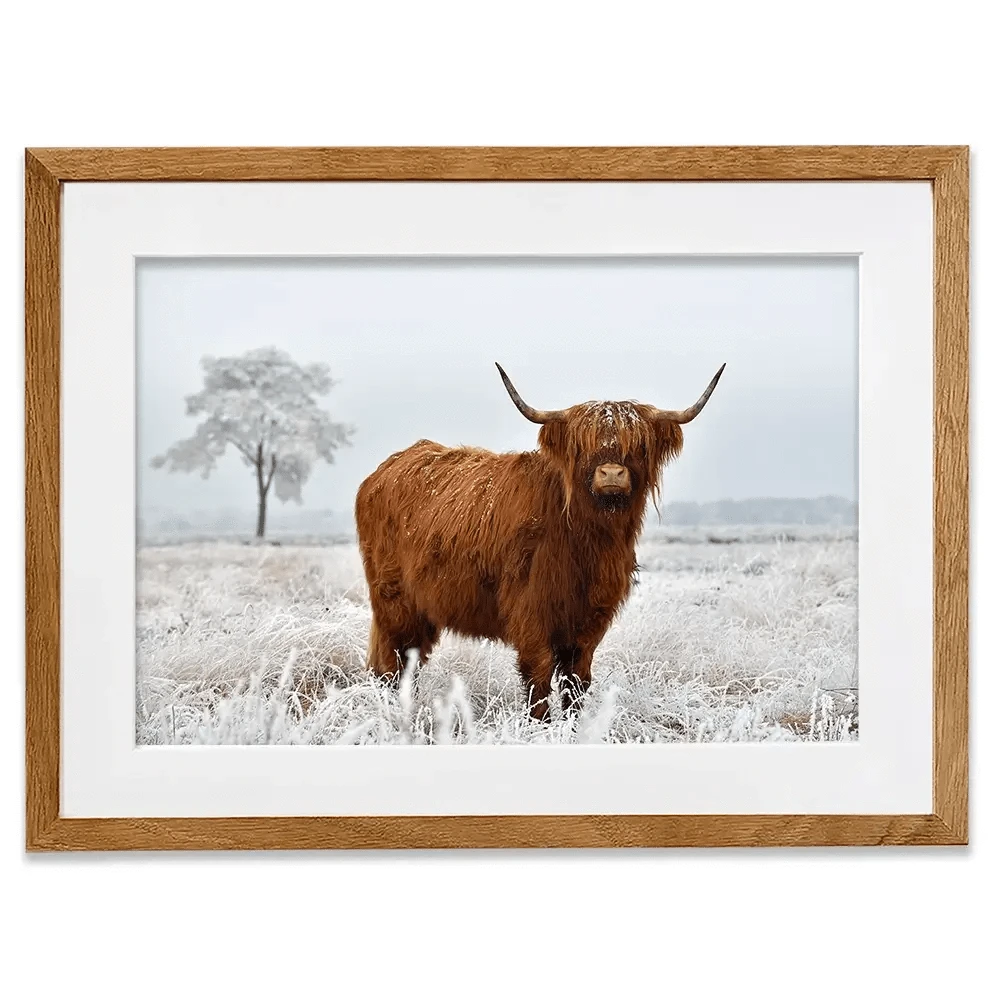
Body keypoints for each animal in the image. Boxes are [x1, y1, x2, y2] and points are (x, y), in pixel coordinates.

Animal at [354, 362, 725, 719]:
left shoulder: (591, 619)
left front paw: (575, 725)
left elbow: (577, 680)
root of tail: (385, 469)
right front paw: (541, 725)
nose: (611, 474)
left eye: (638, 445)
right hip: (395, 603)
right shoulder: (530, 611)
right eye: (582, 445)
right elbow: (539, 676)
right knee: (393, 662)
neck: (588, 541)